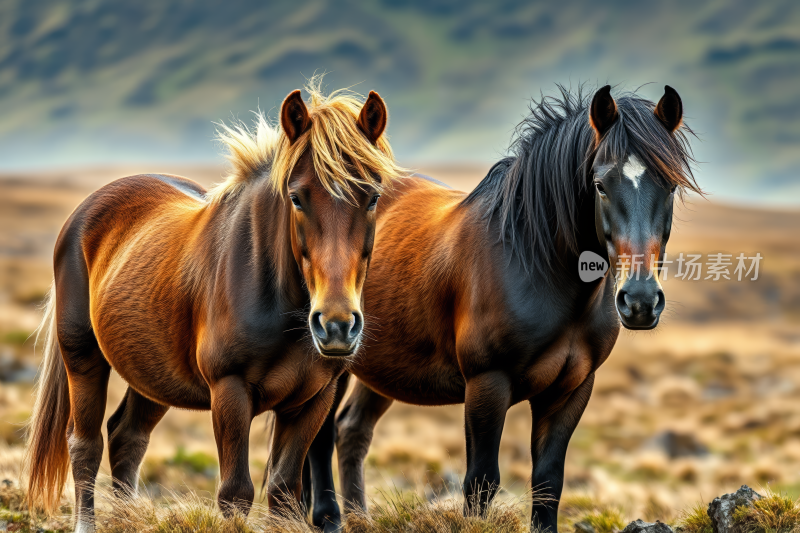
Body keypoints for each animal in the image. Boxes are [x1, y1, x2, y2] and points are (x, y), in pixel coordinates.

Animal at [25, 82, 406, 528]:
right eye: (296, 198)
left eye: (373, 197)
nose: (336, 326)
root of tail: (85, 211)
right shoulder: (230, 391)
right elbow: (235, 493)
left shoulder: (314, 399)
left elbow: (284, 491)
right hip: (83, 359)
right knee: (85, 444)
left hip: (152, 373)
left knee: (127, 437)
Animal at [306, 85, 700, 528]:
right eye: (600, 184)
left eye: (670, 187)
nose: (640, 301)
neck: (535, 263)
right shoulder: (487, 385)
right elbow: (481, 482)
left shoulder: (571, 390)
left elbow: (547, 483)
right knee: (320, 435)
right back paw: (327, 518)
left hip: (384, 367)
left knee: (352, 431)